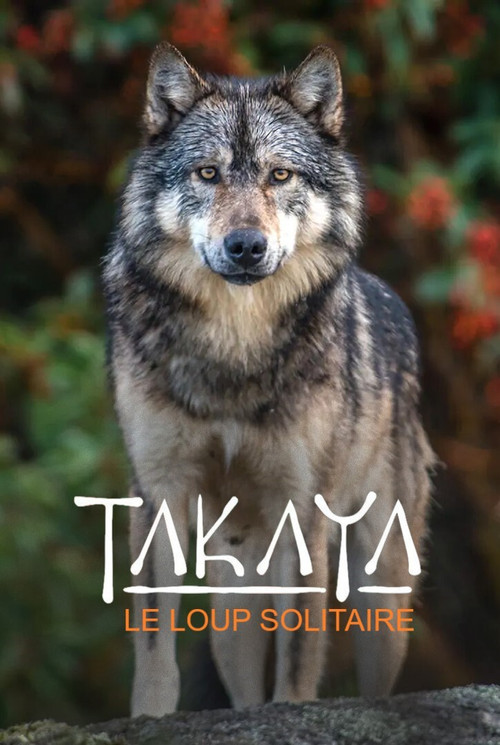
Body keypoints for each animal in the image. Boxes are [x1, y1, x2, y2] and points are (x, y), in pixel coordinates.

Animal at [103, 43, 435, 716]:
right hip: (233, 593)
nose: (246, 246)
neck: (236, 346)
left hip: (381, 594)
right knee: (242, 683)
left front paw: (297, 708)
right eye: (207, 174)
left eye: (280, 176)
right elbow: (154, 647)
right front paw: (150, 717)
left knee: (375, 679)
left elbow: (301, 652)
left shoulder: (304, 508)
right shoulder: (158, 491)